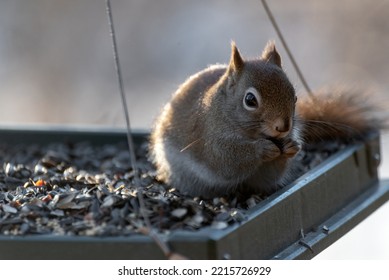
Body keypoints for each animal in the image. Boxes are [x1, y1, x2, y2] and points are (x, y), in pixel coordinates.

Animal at [149, 41, 382, 199]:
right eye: (250, 100)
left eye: (294, 96)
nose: (284, 127)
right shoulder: (210, 139)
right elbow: (227, 160)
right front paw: (261, 149)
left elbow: (274, 170)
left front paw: (292, 146)